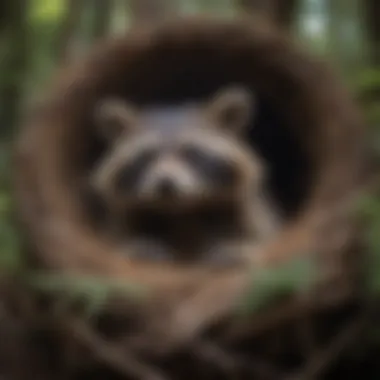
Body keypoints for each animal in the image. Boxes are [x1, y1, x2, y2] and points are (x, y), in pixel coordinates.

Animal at [89, 85, 280, 266]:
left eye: (190, 153)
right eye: (148, 155)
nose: (165, 184)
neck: (182, 211)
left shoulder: (247, 208)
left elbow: (258, 233)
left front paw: (234, 247)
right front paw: (143, 245)